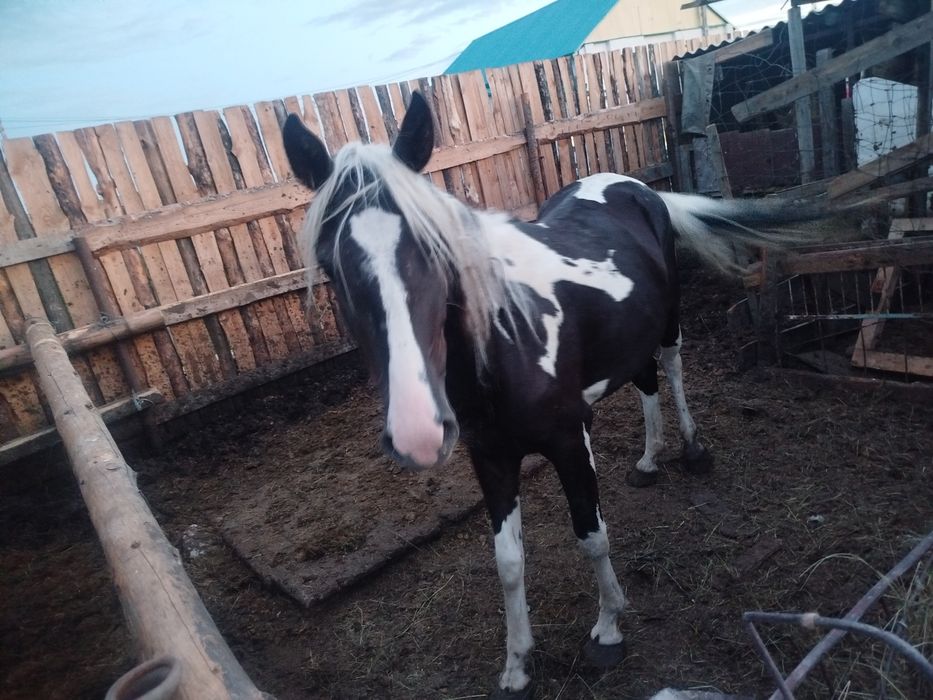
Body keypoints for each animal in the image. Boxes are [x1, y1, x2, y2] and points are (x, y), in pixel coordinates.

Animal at [282, 92, 825, 698]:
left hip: (670, 322)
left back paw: (690, 449)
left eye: (439, 250)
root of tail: (636, 187)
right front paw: (518, 662)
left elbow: (591, 534)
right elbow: (508, 562)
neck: (505, 339)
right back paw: (648, 459)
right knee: (646, 382)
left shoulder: (570, 440)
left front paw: (608, 630)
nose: (417, 432)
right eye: (330, 265)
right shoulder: (490, 456)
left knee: (673, 370)